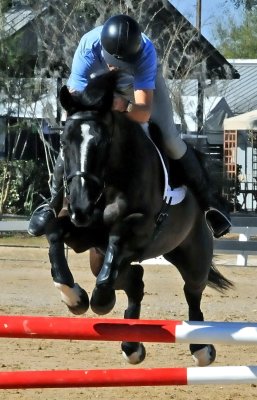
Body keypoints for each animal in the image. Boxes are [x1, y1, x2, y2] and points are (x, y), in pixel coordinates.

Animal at [45, 71, 232, 366]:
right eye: (64, 143)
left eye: (102, 142)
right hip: (99, 259)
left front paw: (99, 299)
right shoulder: (84, 235)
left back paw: (202, 349)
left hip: (194, 257)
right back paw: (132, 345)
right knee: (134, 281)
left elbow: (117, 235)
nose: (81, 207)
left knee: (192, 292)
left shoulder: (140, 228)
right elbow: (54, 232)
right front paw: (74, 298)